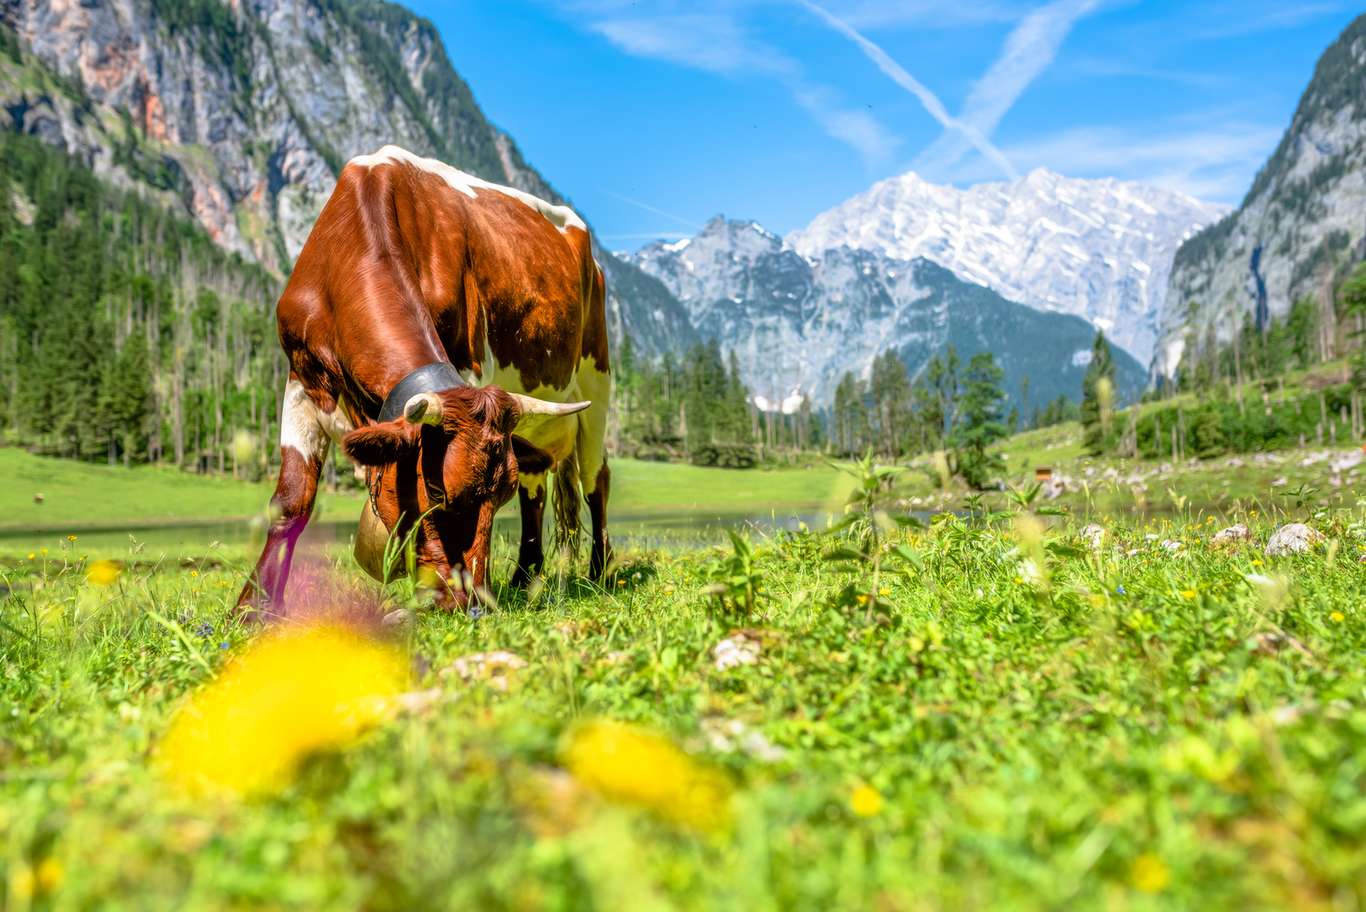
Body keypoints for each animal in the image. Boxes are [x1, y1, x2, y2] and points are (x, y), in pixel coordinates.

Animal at [239, 144, 614, 611]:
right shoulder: (302, 378)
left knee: (595, 479)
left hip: (597, 380)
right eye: (436, 493)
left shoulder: (471, 365)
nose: (470, 604)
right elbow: (290, 502)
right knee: (537, 486)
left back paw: (600, 574)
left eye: (498, 498)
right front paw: (252, 608)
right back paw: (525, 579)